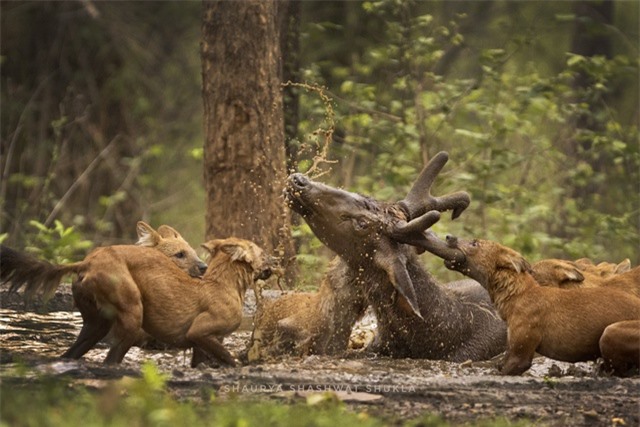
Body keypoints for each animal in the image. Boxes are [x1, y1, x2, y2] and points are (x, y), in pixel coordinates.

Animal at [0, 236, 270, 366]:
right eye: (262, 252)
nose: (274, 260)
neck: (224, 284)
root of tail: (85, 262)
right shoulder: (199, 332)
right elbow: (229, 359)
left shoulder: (201, 344)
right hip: (132, 314)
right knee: (111, 360)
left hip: (95, 325)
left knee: (71, 354)